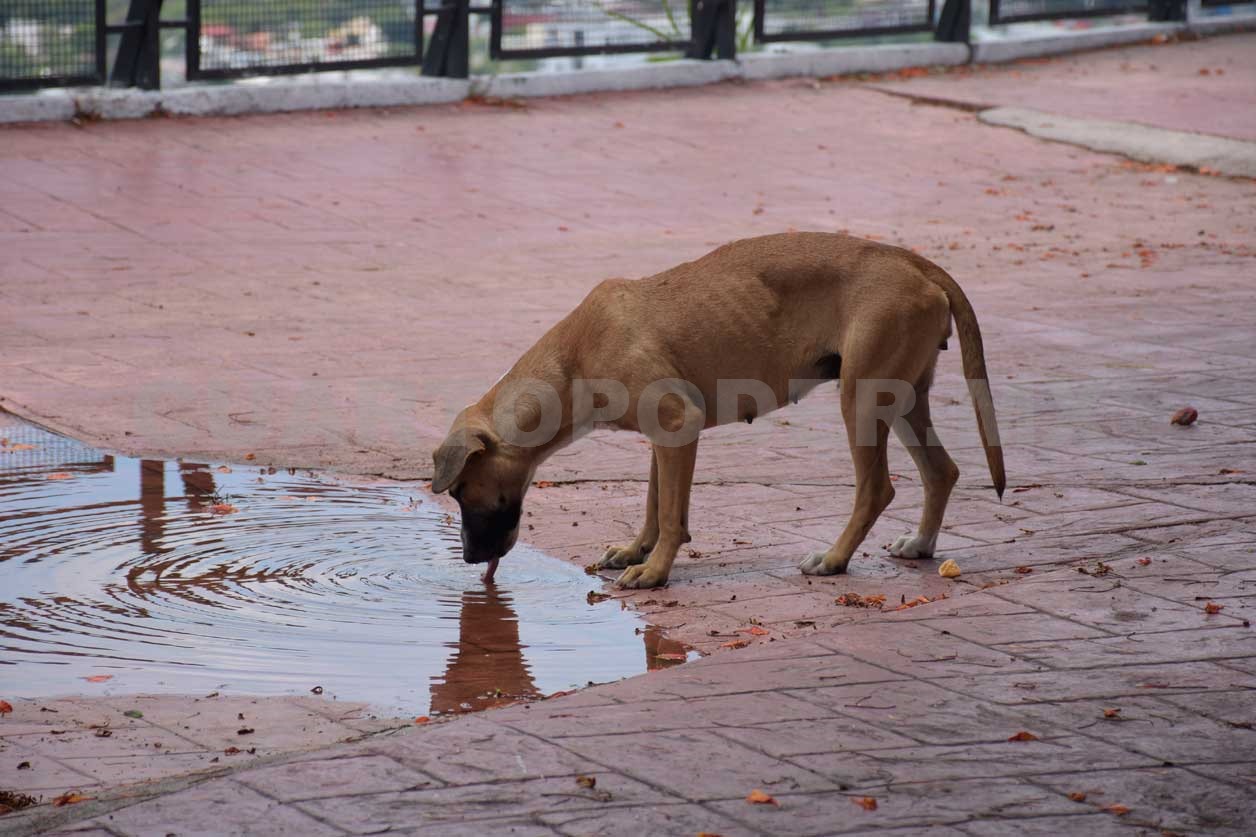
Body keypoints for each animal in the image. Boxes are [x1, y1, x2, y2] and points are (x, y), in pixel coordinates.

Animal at [429, 229, 999, 585]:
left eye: (458, 490)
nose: (470, 558)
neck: (575, 357)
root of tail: (909, 259)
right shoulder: (664, 438)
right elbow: (656, 503)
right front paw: (637, 551)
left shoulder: (678, 423)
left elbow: (671, 514)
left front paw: (655, 572)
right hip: (902, 399)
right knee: (941, 470)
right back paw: (921, 544)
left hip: (861, 398)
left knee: (877, 488)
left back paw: (835, 559)